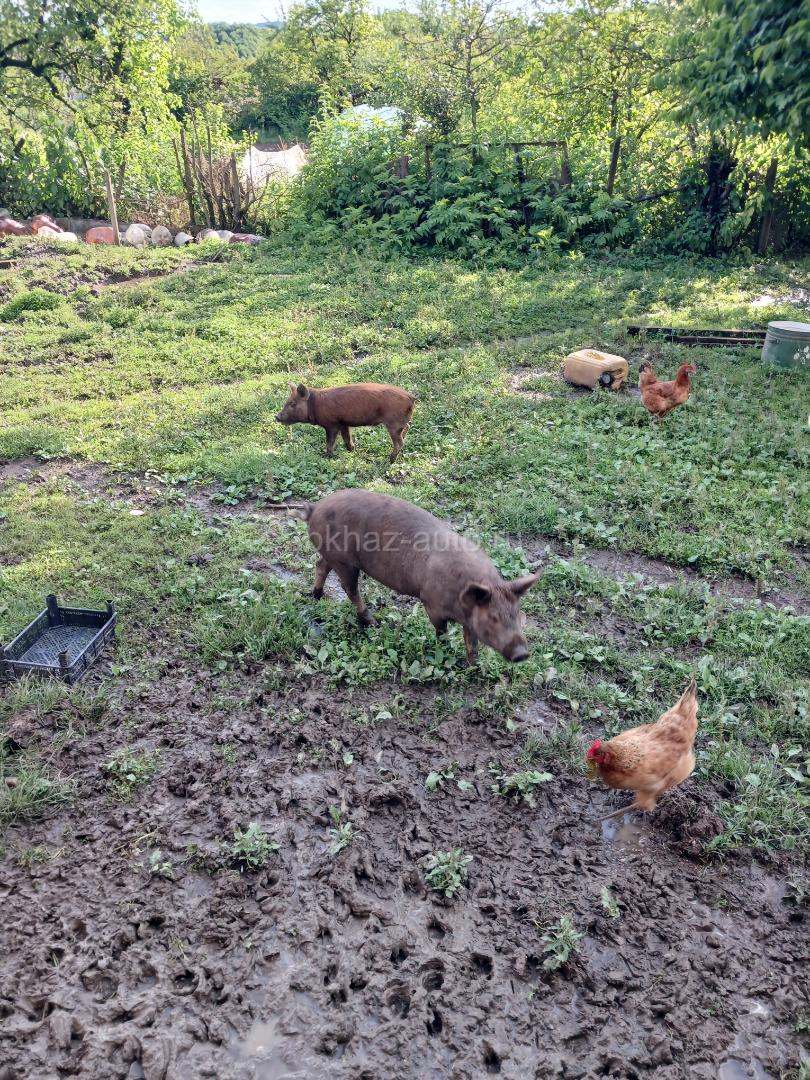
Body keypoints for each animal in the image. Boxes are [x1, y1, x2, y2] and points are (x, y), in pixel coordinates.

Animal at [276, 382, 415, 462]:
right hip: (401, 422)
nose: (277, 417)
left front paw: (326, 456)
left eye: (293, 404)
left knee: (399, 442)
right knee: (407, 428)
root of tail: (411, 397)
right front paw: (351, 451)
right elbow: (347, 439)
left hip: (393, 423)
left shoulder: (331, 424)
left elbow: (330, 442)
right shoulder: (344, 423)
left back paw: (389, 460)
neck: (314, 405)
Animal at [301, 490, 540, 663]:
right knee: (349, 588)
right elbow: (442, 632)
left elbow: (471, 642)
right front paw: (445, 653)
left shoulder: (469, 621)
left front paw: (475, 666)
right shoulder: (431, 603)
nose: (522, 653)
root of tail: (315, 508)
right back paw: (372, 622)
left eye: (516, 613)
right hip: (344, 561)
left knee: (321, 565)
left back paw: (317, 595)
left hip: (333, 556)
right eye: (493, 618)